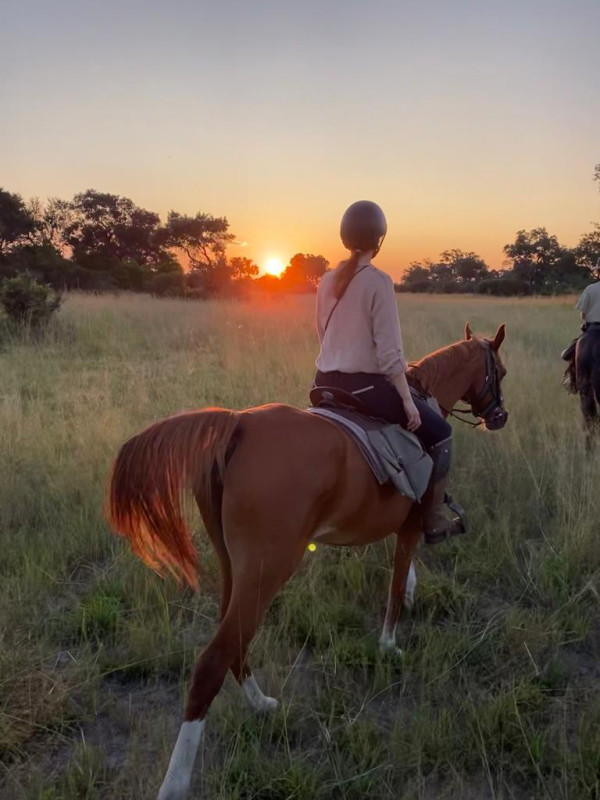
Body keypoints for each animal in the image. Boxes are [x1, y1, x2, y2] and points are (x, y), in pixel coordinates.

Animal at [108, 322, 506, 796]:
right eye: (499, 371)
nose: (500, 417)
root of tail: (239, 423)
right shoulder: (410, 526)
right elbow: (394, 587)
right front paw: (390, 644)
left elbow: (403, 573)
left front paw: (410, 596)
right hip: (269, 568)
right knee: (212, 660)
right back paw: (176, 783)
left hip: (234, 566)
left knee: (233, 641)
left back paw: (260, 702)